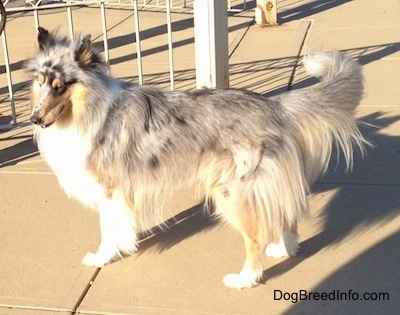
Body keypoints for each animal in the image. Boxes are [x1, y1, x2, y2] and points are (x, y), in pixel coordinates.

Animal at [25, 28, 368, 290]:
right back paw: (285, 249)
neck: (90, 108)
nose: (34, 119)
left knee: (256, 239)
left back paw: (244, 279)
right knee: (286, 215)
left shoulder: (109, 190)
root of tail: (275, 106)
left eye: (59, 86)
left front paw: (101, 258)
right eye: (40, 83)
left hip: (233, 191)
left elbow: (108, 231)